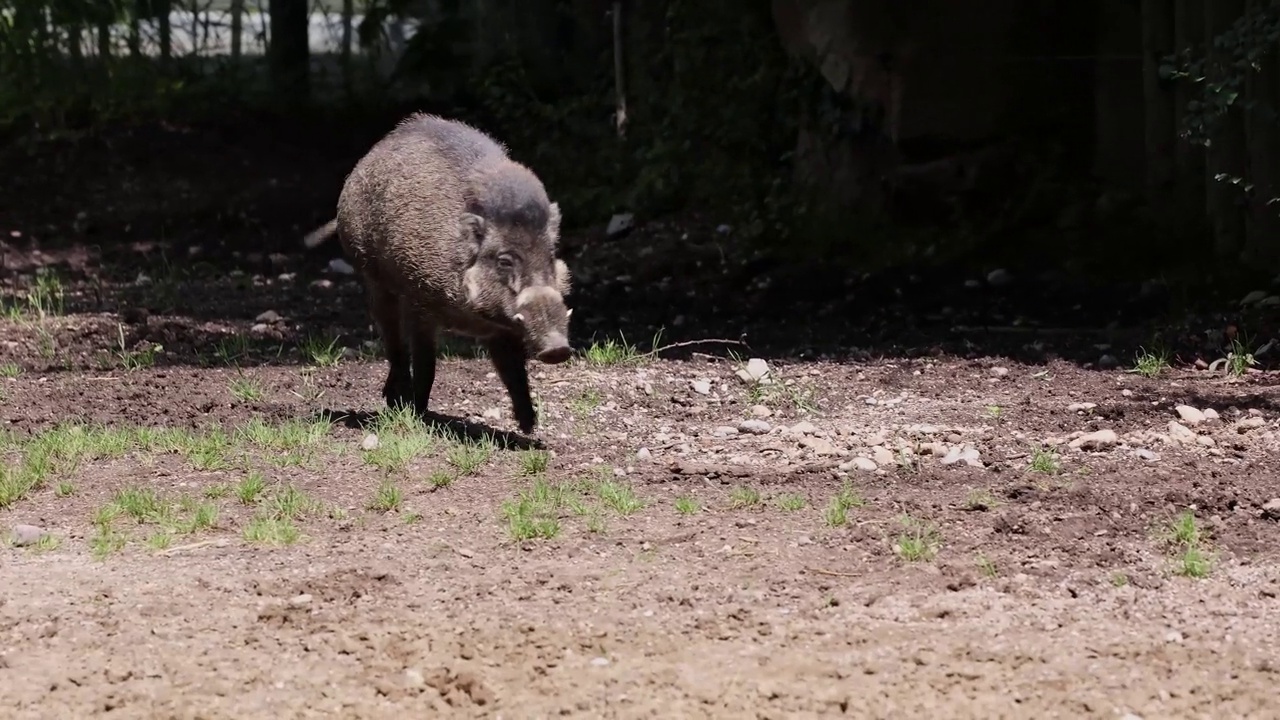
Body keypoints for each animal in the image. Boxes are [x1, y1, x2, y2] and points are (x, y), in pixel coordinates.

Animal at [302, 113, 573, 430]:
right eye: (504, 261)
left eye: (550, 255)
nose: (558, 348)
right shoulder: (419, 304)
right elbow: (425, 364)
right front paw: (418, 414)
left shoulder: (503, 328)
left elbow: (514, 371)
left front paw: (529, 426)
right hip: (373, 277)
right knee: (393, 341)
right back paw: (396, 401)